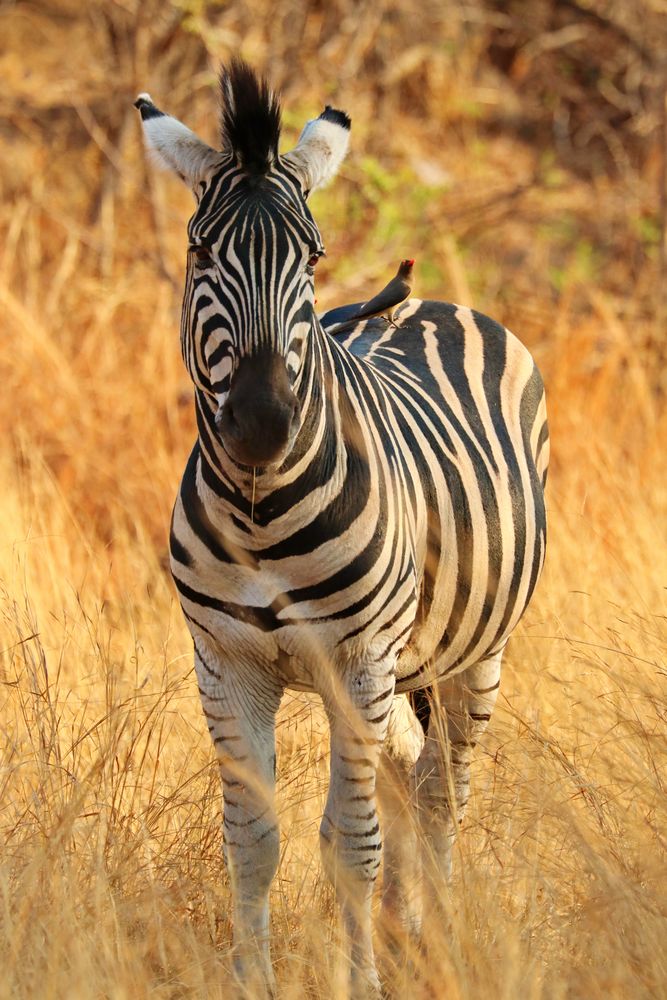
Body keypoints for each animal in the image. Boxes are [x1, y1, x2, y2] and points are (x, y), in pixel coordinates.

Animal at [136, 60, 548, 992]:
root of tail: (423, 302)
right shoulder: (225, 664)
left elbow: (350, 846)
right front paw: (253, 983)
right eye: (199, 251)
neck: (260, 517)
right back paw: (403, 929)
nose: (259, 424)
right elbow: (253, 845)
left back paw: (433, 941)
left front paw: (360, 983)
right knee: (405, 765)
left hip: (474, 654)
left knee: (439, 791)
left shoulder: (357, 661)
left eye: (311, 257)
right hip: (393, 669)